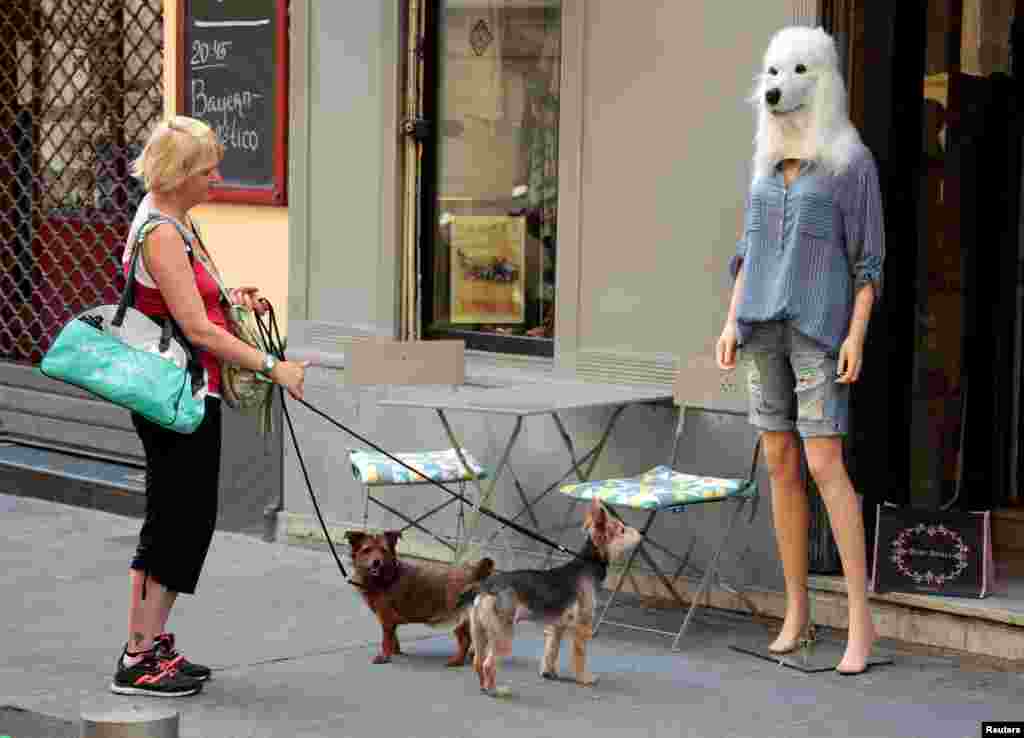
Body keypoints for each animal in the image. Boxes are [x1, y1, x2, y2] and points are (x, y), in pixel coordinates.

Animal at [346, 528, 493, 663]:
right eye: (367, 550)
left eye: (384, 550)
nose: (376, 562)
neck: (386, 577)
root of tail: (473, 572)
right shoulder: (389, 620)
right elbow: (393, 637)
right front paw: (395, 652)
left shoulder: (386, 618)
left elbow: (386, 640)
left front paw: (384, 656)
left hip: (457, 619)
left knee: (465, 640)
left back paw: (456, 661)